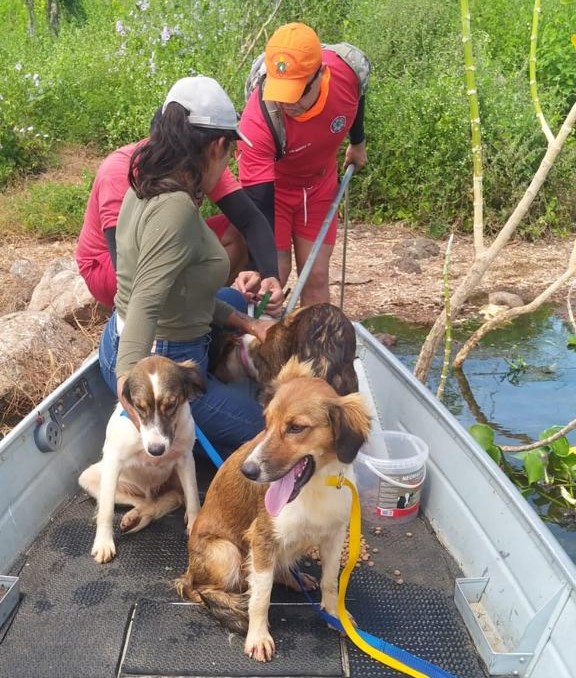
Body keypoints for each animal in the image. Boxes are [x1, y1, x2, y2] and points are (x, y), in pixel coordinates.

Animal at [79, 354, 205, 564]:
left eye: (171, 405)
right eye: (139, 406)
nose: (156, 450)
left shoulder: (186, 458)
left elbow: (194, 497)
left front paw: (195, 523)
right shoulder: (112, 461)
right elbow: (106, 509)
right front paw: (104, 542)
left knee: (174, 498)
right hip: (90, 477)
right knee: (143, 501)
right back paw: (133, 515)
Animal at [177, 362, 374, 664]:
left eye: (296, 428)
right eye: (266, 422)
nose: (247, 471)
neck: (314, 487)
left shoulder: (334, 534)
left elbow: (330, 581)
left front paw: (333, 613)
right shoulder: (261, 538)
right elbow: (261, 597)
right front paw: (258, 637)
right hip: (227, 552)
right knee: (199, 588)